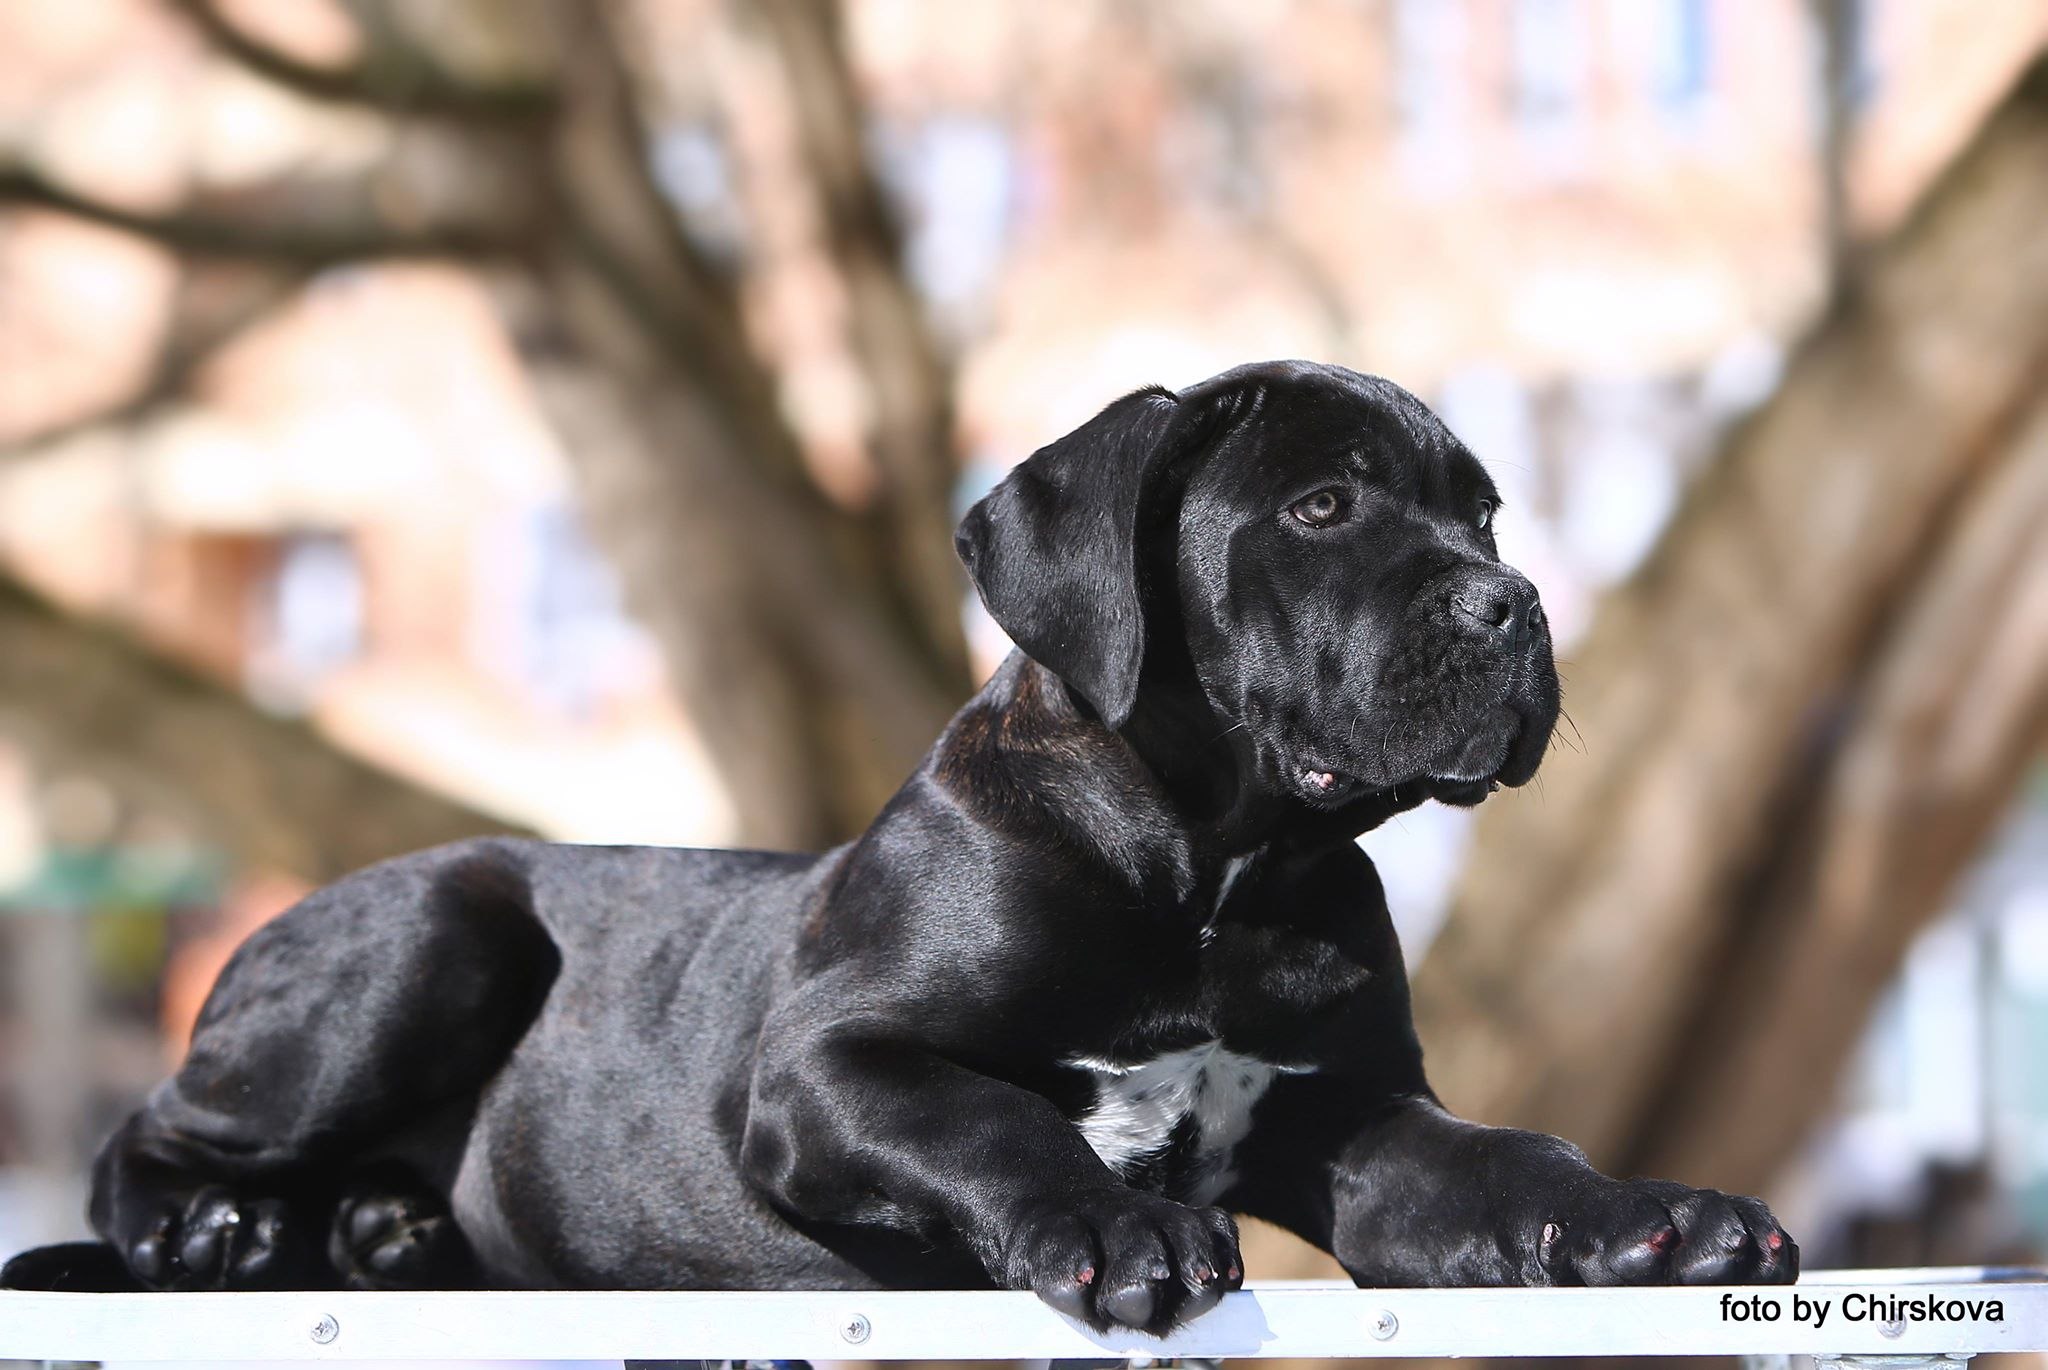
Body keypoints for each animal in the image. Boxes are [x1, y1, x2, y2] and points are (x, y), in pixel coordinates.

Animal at [0, 360, 1794, 1326]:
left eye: (1482, 513)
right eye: (1321, 508)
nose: (1515, 604)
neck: (1218, 872)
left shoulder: (1357, 1121)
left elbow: (1503, 1156)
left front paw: (1654, 1213)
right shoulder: (821, 1069)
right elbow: (999, 1120)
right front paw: (1120, 1223)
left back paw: (381, 1230)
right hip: (437, 930)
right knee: (144, 1128)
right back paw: (217, 1229)